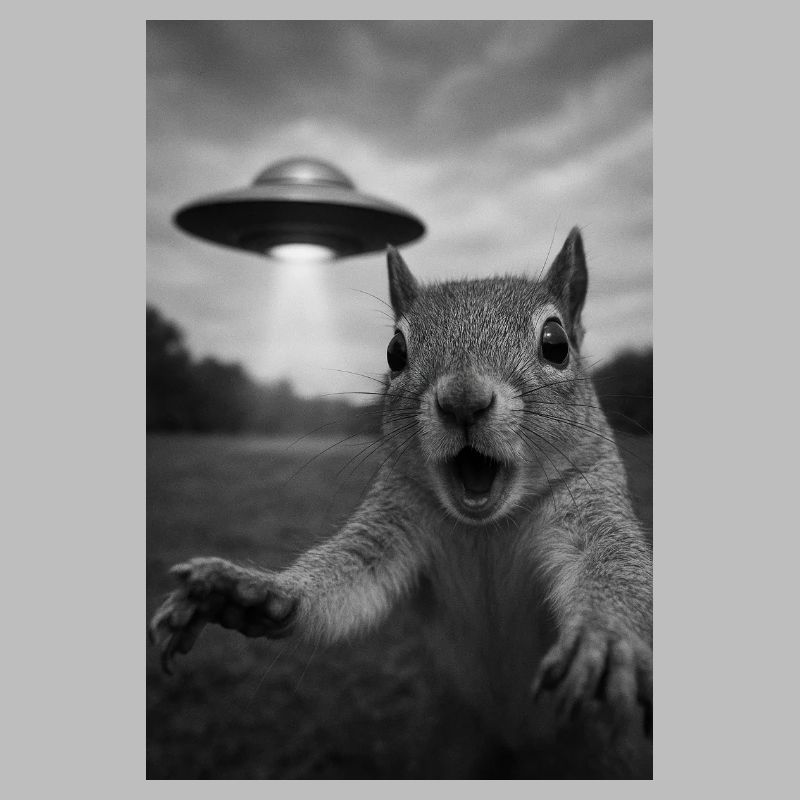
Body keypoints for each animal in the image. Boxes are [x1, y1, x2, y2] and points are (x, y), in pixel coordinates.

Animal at [149, 227, 653, 778]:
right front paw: (251, 591)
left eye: (556, 344)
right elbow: (349, 579)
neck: (487, 527)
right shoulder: (393, 518)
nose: (463, 400)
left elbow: (614, 565)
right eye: (394, 351)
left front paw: (606, 637)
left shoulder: (593, 501)